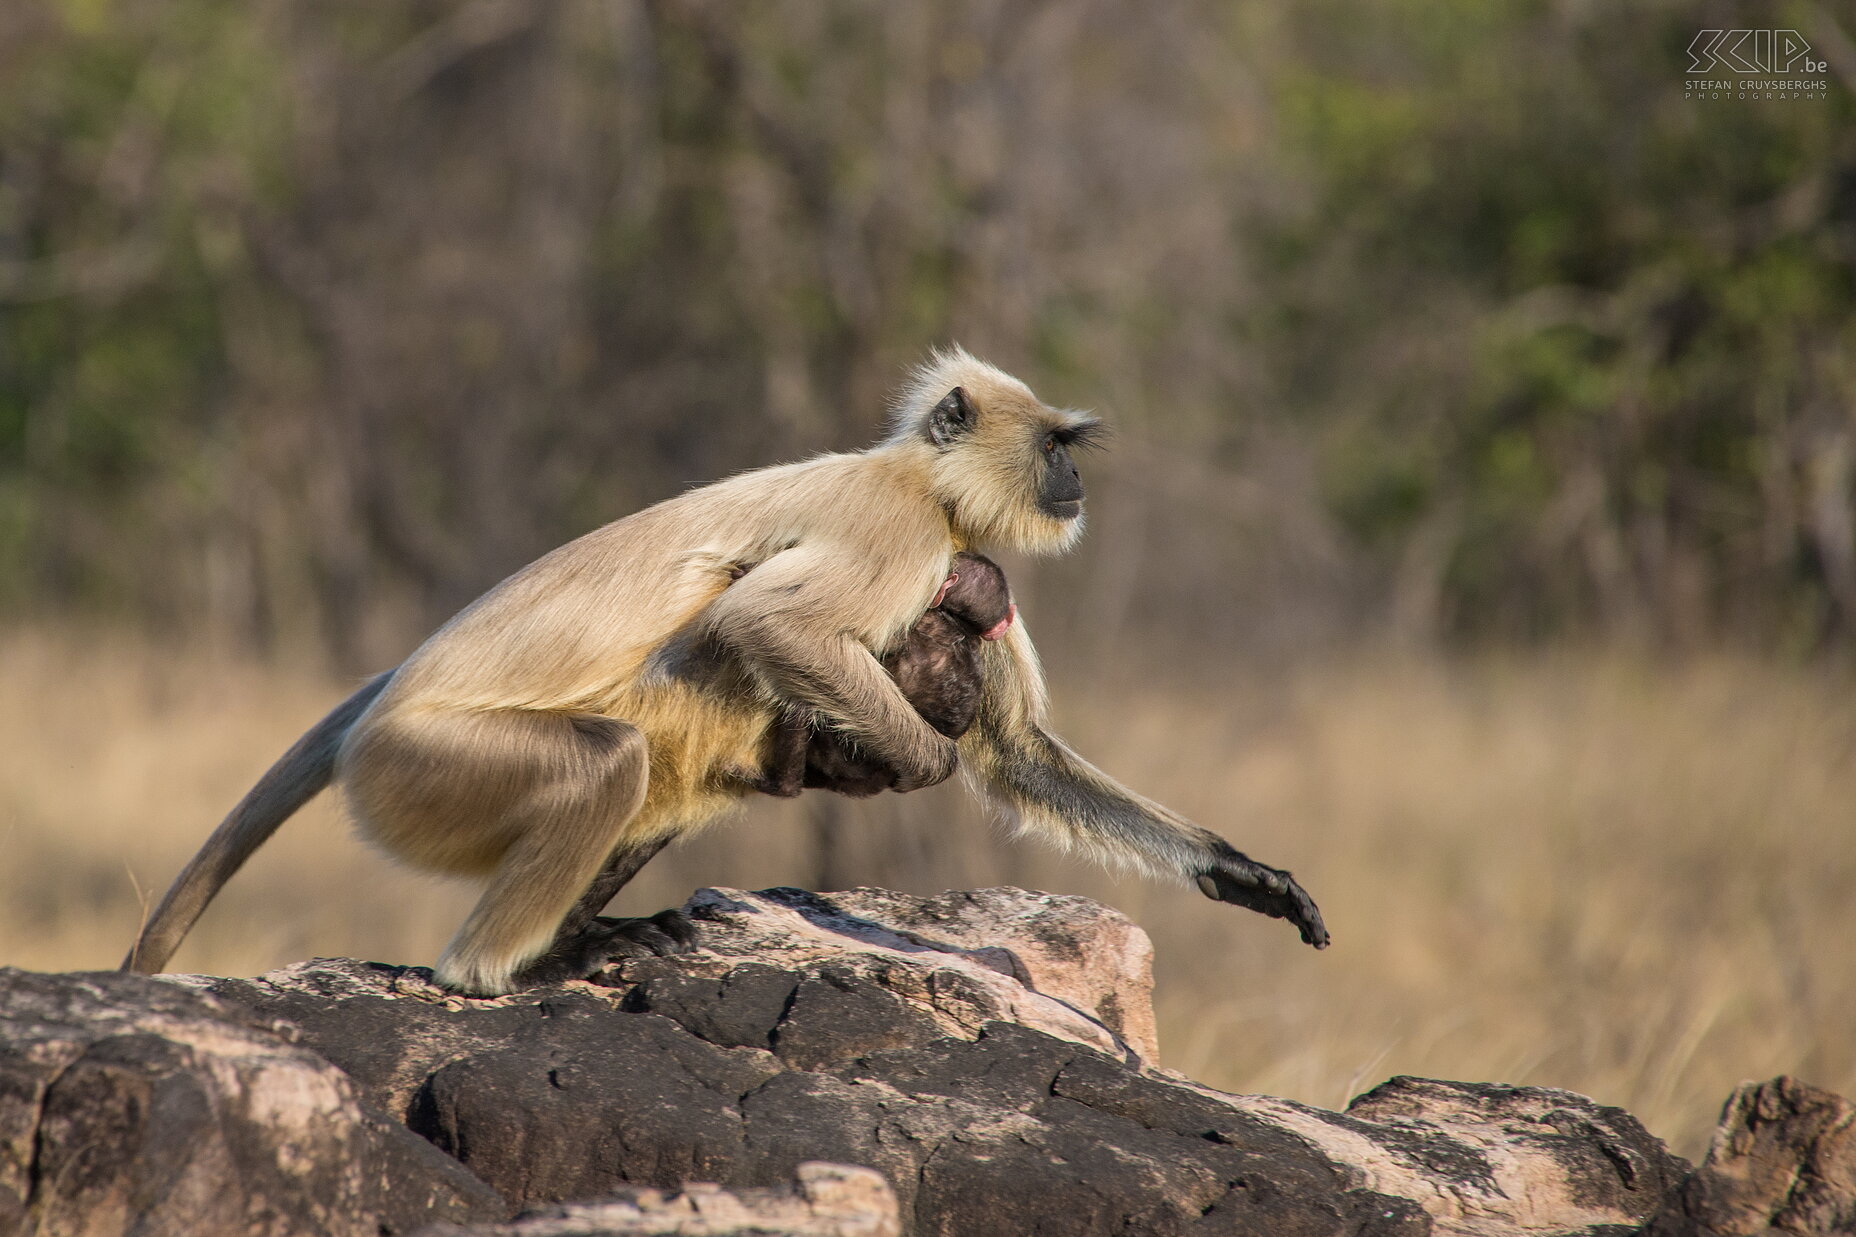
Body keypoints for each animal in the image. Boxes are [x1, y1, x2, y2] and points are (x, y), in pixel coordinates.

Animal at [123, 347, 1328, 995]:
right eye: (1055, 446)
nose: (1075, 484)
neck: (920, 483)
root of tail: (380, 703)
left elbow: (1021, 753)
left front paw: (1242, 873)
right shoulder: (906, 530)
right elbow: (766, 625)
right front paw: (893, 761)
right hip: (420, 769)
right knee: (611, 759)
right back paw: (504, 971)